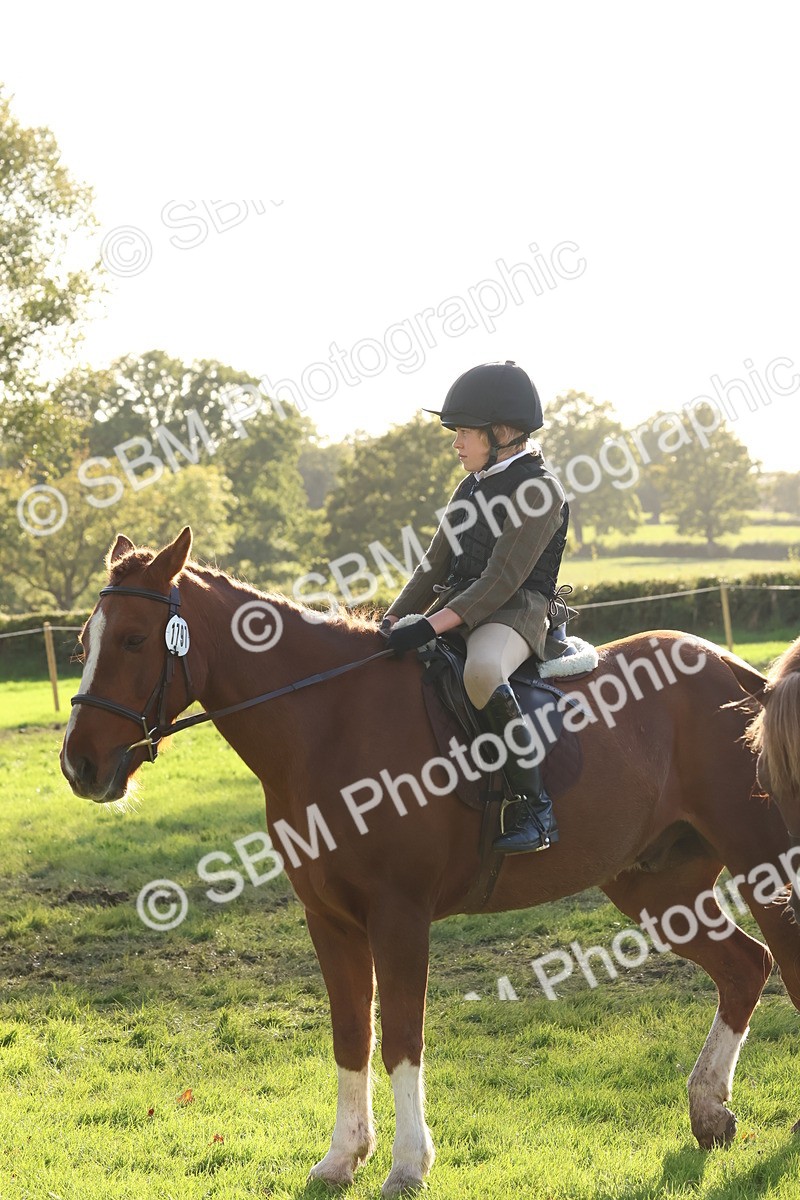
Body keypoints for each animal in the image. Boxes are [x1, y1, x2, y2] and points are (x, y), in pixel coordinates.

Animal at [60, 527, 800, 1197]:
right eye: (83, 644)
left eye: (134, 640)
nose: (79, 766)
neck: (328, 723)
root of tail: (735, 671)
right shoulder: (330, 921)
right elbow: (351, 1036)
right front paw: (341, 1159)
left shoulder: (399, 917)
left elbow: (400, 1039)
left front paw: (407, 1166)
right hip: (657, 887)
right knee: (745, 968)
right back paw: (709, 1113)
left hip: (760, 862)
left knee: (781, 961)